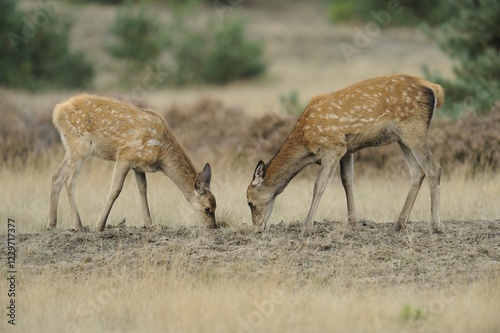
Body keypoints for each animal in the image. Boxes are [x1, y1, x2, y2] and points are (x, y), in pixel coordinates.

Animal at [47, 92, 217, 231]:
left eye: (216, 205)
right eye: (207, 208)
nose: (213, 226)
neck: (163, 155)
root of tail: (56, 112)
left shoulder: (138, 165)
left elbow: (143, 189)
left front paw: (149, 224)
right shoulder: (125, 155)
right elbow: (116, 189)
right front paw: (100, 225)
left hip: (70, 148)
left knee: (56, 176)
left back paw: (52, 224)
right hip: (80, 145)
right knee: (69, 179)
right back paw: (79, 226)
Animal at [248, 74, 444, 236]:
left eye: (250, 202)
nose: (256, 228)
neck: (305, 142)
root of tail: (435, 88)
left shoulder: (333, 146)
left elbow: (319, 185)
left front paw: (306, 228)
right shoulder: (346, 149)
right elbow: (346, 180)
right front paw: (352, 222)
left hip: (413, 128)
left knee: (434, 168)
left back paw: (435, 225)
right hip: (402, 138)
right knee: (417, 171)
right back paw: (399, 223)